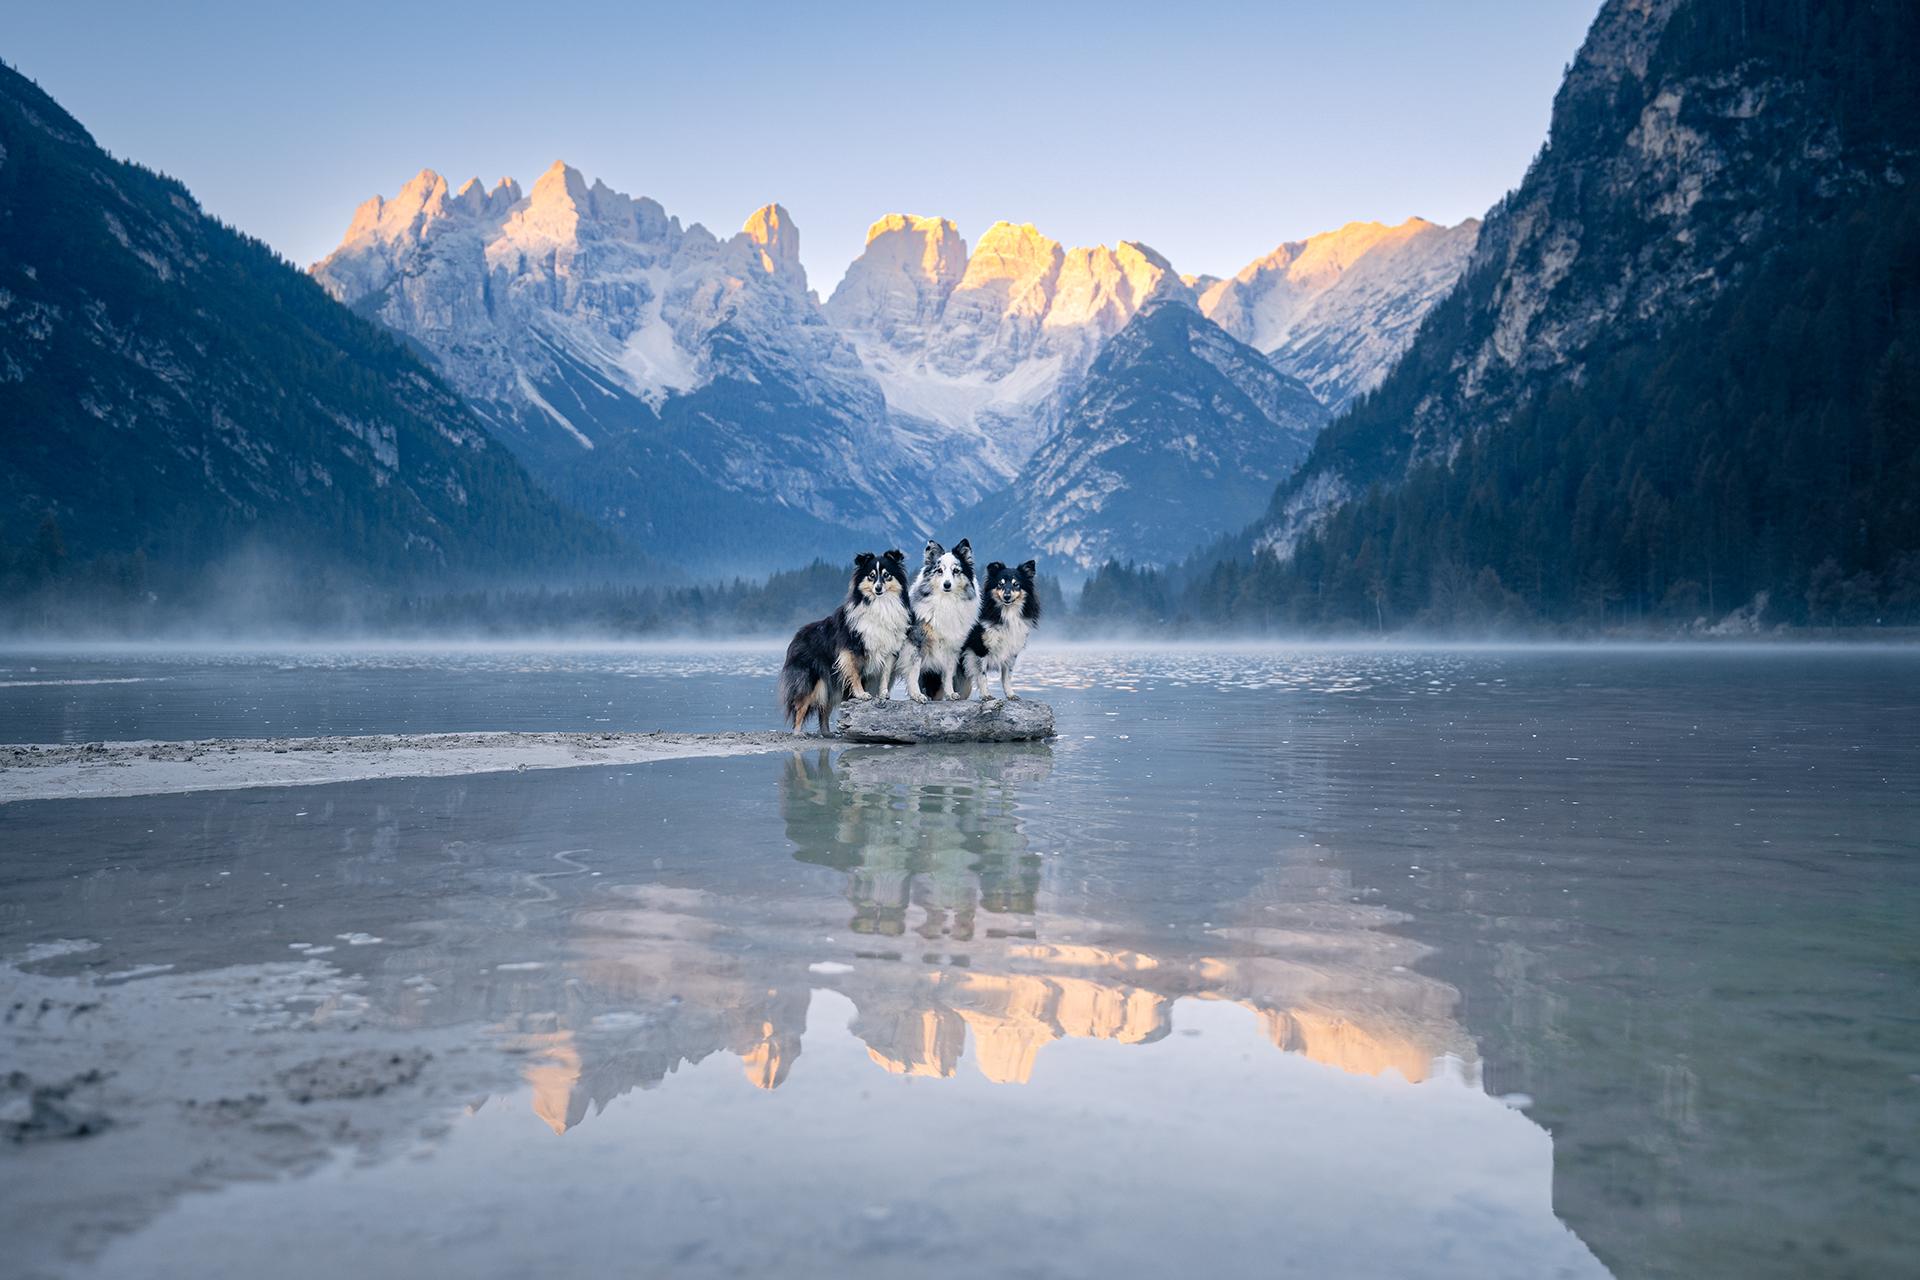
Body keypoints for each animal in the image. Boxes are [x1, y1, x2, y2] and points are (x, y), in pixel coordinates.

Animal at [775, 548, 910, 736]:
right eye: (871, 576)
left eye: (887, 575)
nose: (878, 588)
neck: (879, 605)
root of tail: (795, 637)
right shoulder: (851, 650)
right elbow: (855, 674)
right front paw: (862, 694)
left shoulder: (889, 649)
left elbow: (885, 673)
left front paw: (883, 694)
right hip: (812, 681)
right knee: (801, 707)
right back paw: (798, 732)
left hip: (829, 684)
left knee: (824, 709)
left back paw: (827, 733)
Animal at [906, 537, 983, 706]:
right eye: (939, 570)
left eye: (956, 571)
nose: (947, 585)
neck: (946, 602)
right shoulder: (916, 643)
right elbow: (914, 672)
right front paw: (917, 695)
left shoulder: (952, 648)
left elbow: (947, 675)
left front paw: (950, 694)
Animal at [956, 560, 1036, 702]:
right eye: (1000, 584)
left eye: (1016, 584)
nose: (1007, 596)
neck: (1006, 613)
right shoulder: (979, 649)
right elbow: (982, 675)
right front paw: (986, 695)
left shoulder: (1010, 652)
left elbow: (1007, 677)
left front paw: (1011, 695)